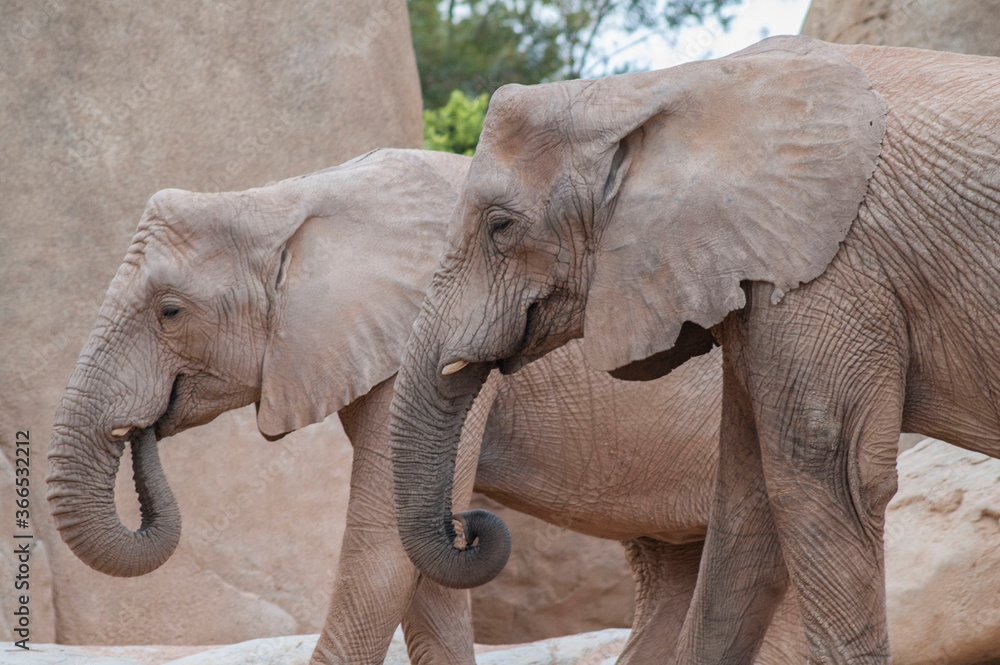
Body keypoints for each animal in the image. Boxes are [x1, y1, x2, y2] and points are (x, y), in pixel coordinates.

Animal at [46, 148, 803, 664]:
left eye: (170, 311)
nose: (143, 427)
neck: (289, 200)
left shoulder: (450, 330)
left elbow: (385, 547)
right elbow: (424, 566)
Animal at [386, 35, 1000, 664]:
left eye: (500, 227)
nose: (467, 526)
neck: (675, 85)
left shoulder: (831, 264)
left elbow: (827, 477)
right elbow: (746, 501)